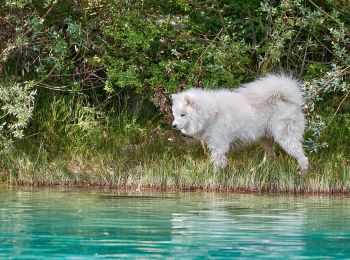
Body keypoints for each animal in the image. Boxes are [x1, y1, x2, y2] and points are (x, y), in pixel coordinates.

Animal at [172, 74, 308, 174]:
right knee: (270, 157)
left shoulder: (219, 145)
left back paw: (302, 173)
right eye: (175, 114)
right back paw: (258, 169)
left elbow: (217, 163)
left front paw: (214, 176)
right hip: (266, 139)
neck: (211, 113)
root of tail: (286, 99)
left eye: (183, 114)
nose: (173, 125)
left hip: (286, 138)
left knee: (303, 158)